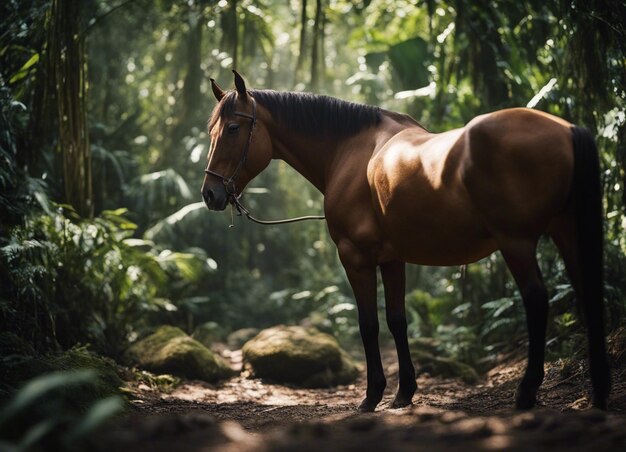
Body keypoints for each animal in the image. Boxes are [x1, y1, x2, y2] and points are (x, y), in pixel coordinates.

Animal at [202, 69, 608, 412]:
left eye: (234, 128)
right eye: (211, 130)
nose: (210, 194)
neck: (350, 151)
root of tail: (567, 130)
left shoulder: (356, 258)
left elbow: (368, 324)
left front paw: (372, 395)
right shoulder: (393, 259)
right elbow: (398, 320)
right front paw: (404, 393)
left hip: (517, 243)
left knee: (537, 301)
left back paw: (527, 391)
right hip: (566, 233)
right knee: (587, 292)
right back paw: (597, 391)